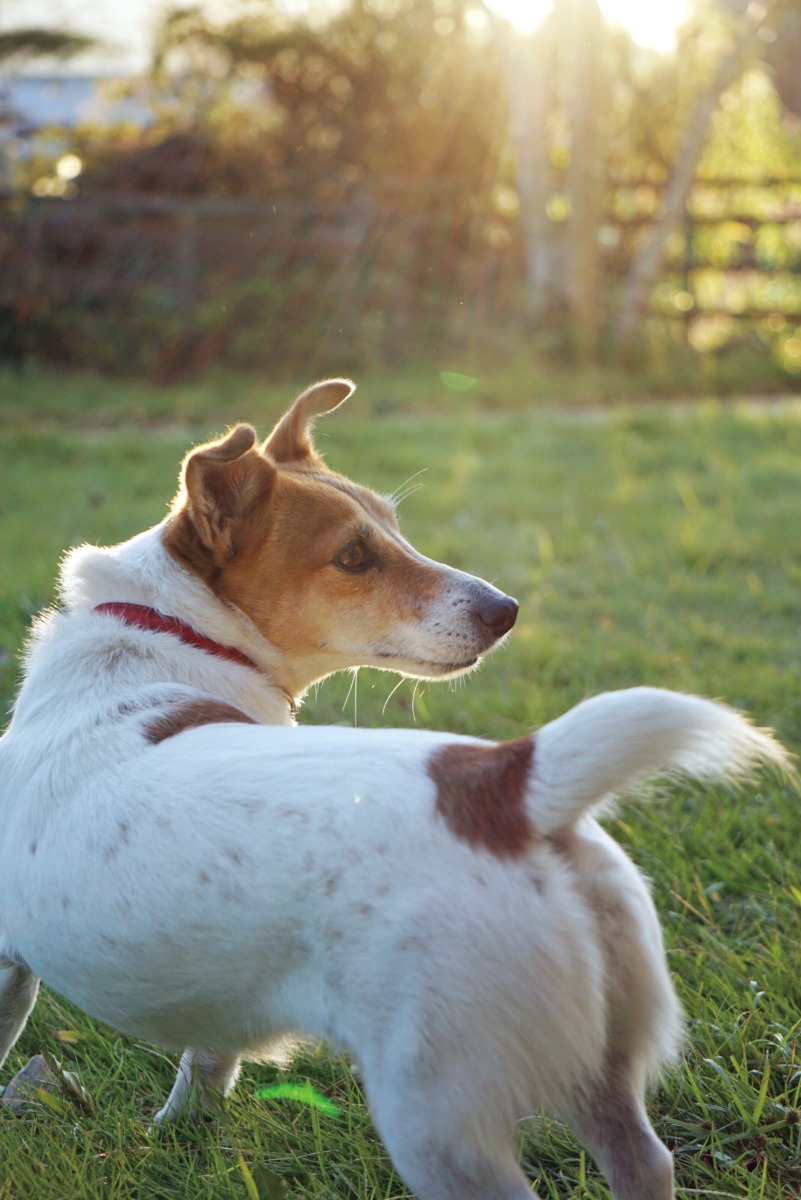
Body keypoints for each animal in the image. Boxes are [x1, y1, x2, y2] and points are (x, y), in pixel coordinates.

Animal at [0, 376, 786, 1200]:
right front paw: (176, 1141)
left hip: (436, 1116)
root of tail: (507, 786)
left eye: (395, 531)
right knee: (642, 1159)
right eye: (353, 555)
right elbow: (205, 1072)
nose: (507, 611)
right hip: (593, 1059)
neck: (166, 633)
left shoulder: (5, 965)